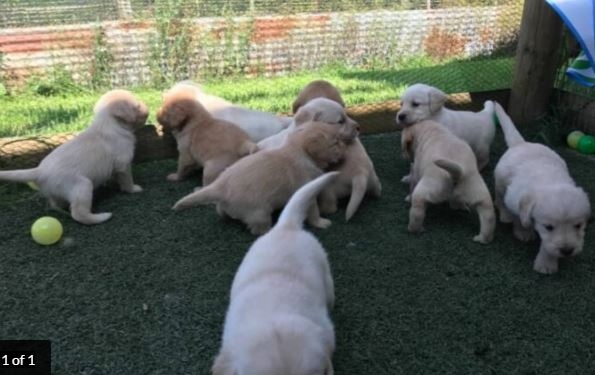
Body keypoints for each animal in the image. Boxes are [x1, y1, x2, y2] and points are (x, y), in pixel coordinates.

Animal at [0, 90, 148, 226]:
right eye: (137, 106)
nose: (147, 108)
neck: (107, 124)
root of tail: (40, 171)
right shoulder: (123, 163)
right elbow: (127, 179)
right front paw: (133, 189)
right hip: (82, 185)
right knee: (78, 213)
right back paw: (101, 217)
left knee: (55, 204)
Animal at [172, 121, 358, 235]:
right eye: (335, 143)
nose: (346, 145)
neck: (299, 150)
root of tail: (220, 187)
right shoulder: (307, 191)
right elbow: (313, 211)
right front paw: (320, 222)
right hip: (259, 212)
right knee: (257, 229)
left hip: (228, 205)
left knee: (221, 210)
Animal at [494, 102, 592, 274]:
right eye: (549, 227)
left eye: (578, 225)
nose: (567, 251)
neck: (550, 182)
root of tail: (521, 143)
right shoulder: (515, 199)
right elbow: (520, 218)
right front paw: (523, 232)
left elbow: (549, 245)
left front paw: (546, 262)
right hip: (500, 180)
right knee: (499, 197)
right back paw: (505, 215)